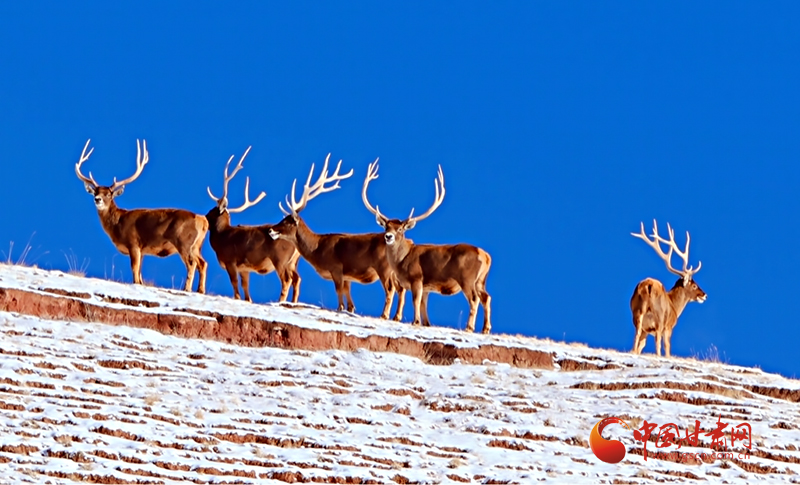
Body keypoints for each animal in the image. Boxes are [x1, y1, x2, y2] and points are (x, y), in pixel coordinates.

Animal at [75, 139, 209, 293]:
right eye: (95, 192)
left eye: (108, 194)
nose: (97, 199)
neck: (118, 223)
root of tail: (202, 220)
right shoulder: (143, 250)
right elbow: (139, 274)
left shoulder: (134, 242)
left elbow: (134, 270)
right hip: (196, 245)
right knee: (203, 263)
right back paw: (200, 290)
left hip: (184, 241)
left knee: (192, 264)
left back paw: (187, 289)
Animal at [205, 146, 301, 303]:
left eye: (211, 211)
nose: (204, 217)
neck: (222, 236)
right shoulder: (244, 268)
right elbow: (246, 288)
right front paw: (248, 300)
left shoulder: (231, 261)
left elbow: (234, 283)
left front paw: (237, 298)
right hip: (292, 262)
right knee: (297, 279)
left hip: (280, 259)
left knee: (287, 280)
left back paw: (281, 301)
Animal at [267, 154, 405, 320]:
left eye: (288, 221)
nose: (271, 230)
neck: (317, 248)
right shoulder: (347, 276)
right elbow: (349, 299)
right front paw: (350, 309)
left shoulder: (336, 267)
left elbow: (339, 293)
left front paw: (340, 308)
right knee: (401, 289)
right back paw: (397, 317)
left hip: (384, 267)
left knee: (391, 289)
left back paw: (384, 315)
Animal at [361, 160, 492, 333]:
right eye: (386, 227)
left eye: (400, 229)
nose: (388, 236)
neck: (402, 261)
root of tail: (486, 256)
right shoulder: (426, 286)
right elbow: (423, 304)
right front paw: (425, 323)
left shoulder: (417, 277)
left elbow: (415, 300)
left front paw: (415, 321)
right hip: (481, 280)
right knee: (486, 297)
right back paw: (485, 328)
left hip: (467, 278)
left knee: (474, 299)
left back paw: (469, 327)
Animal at [630, 219, 707, 357]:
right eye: (694, 285)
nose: (704, 294)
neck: (674, 304)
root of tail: (648, 285)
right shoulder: (669, 326)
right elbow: (667, 346)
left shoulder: (646, 329)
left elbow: (641, 345)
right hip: (659, 317)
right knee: (658, 342)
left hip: (638, 313)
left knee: (637, 336)